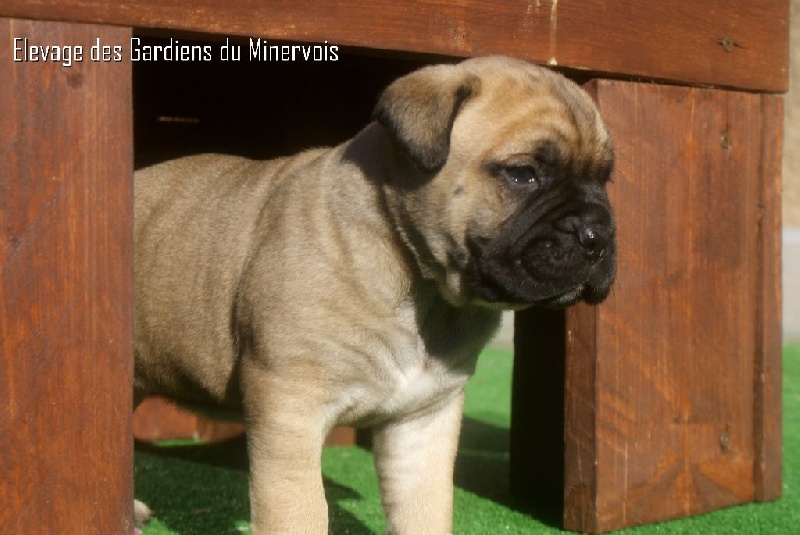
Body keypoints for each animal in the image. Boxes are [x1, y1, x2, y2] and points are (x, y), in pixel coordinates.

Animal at [133, 55, 616, 534]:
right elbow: (300, 511)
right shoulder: (290, 415)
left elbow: (425, 510)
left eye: (605, 179)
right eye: (522, 174)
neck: (423, 290)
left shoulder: (422, 420)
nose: (599, 234)